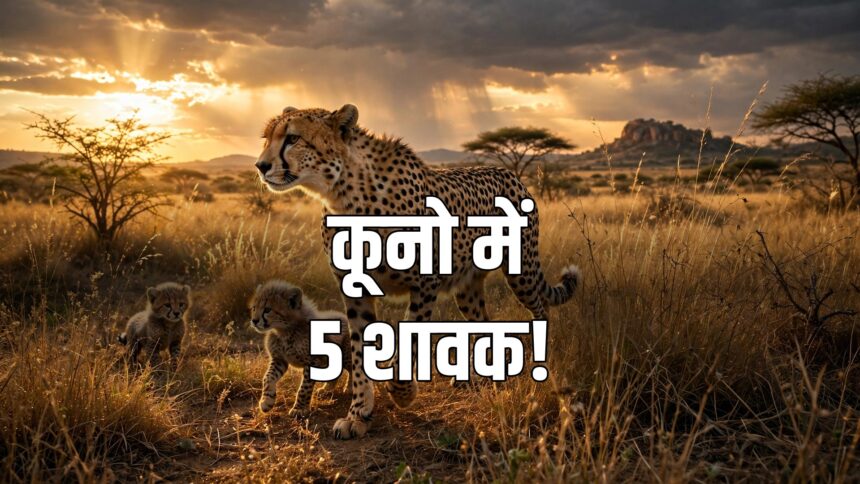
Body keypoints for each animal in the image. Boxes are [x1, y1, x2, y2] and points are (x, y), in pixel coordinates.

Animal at [254, 104, 580, 439]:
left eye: (293, 138)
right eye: (267, 138)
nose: (261, 166)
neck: (345, 194)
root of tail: (507, 172)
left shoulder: (425, 283)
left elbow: (409, 342)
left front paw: (402, 394)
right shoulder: (356, 290)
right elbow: (359, 352)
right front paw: (359, 413)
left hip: (521, 270)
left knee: (540, 308)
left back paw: (539, 362)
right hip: (467, 287)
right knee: (483, 322)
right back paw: (477, 377)